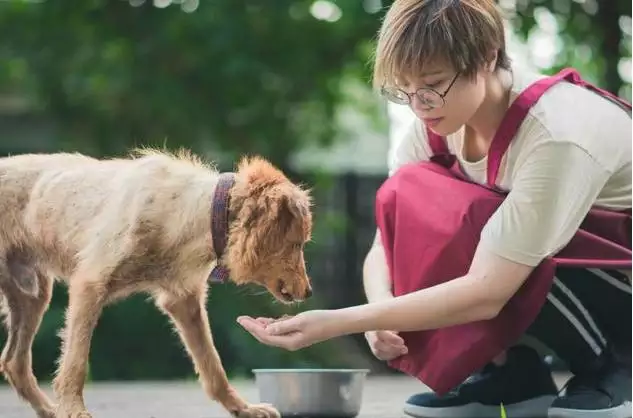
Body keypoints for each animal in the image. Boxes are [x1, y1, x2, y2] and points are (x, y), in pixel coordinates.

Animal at [0, 149, 314, 416]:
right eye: (297, 244)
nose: (310, 292)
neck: (195, 214)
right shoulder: (90, 285)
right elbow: (75, 363)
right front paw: (74, 410)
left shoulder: (183, 301)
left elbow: (213, 366)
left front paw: (243, 408)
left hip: (33, 295)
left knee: (14, 362)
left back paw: (48, 410)